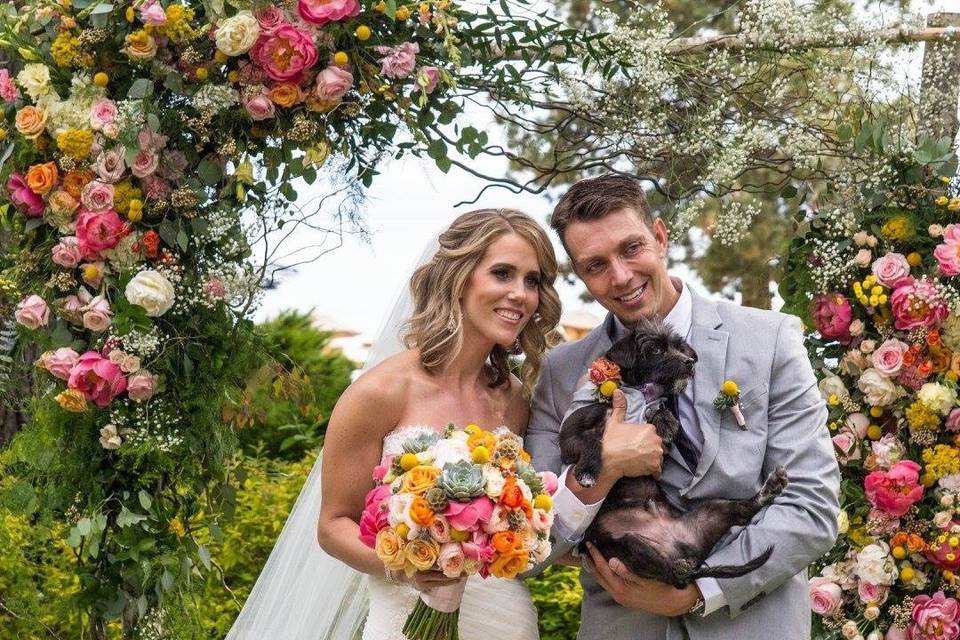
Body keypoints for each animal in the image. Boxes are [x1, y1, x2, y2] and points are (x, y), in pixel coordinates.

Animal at [556, 320, 788, 592]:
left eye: (680, 348)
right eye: (656, 349)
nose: (689, 361)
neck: (638, 393)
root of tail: (682, 549)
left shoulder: (657, 449)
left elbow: (660, 413)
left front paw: (665, 421)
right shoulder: (569, 437)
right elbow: (593, 440)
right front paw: (587, 472)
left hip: (712, 510)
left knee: (740, 511)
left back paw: (771, 487)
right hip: (624, 545)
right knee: (674, 576)